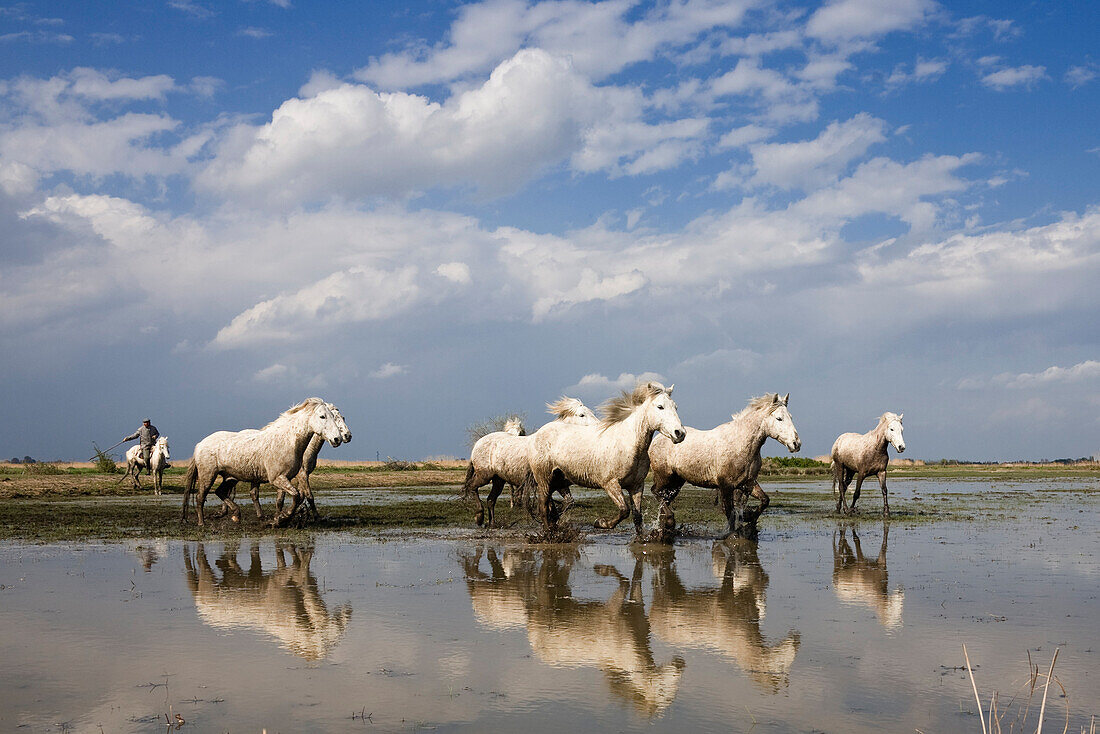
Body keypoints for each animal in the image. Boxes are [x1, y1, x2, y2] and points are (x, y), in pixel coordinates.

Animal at [182, 398, 343, 526]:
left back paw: (236, 515)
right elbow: (297, 495)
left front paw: (279, 519)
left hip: (229, 478)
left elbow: (289, 499)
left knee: (220, 492)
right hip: (208, 476)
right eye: (322, 416)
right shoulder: (277, 478)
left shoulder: (287, 478)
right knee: (200, 497)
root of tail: (200, 444)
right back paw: (202, 523)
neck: (287, 441)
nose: (338, 439)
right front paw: (282, 518)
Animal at [464, 398, 602, 526]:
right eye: (582, 415)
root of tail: (477, 444)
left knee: (491, 500)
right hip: (484, 475)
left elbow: (568, 502)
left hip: (498, 480)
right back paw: (479, 517)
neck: (551, 443)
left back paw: (492, 523)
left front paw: (553, 517)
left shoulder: (559, 483)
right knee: (472, 487)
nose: (599, 426)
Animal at [521, 385, 677, 534]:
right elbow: (624, 510)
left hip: (558, 480)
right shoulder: (610, 484)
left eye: (675, 407)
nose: (679, 433)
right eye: (660, 407)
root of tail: (538, 434)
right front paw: (601, 523)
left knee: (552, 505)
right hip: (544, 481)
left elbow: (637, 517)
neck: (628, 443)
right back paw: (549, 532)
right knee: (543, 507)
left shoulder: (636, 486)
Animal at [646, 396, 805, 534]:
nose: (796, 444)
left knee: (665, 499)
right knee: (656, 492)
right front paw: (732, 534)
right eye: (779, 418)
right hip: (664, 477)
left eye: (791, 417)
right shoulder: (726, 486)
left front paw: (750, 519)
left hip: (677, 482)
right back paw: (670, 520)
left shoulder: (748, 483)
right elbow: (729, 512)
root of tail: (659, 438)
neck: (741, 444)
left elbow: (764, 500)